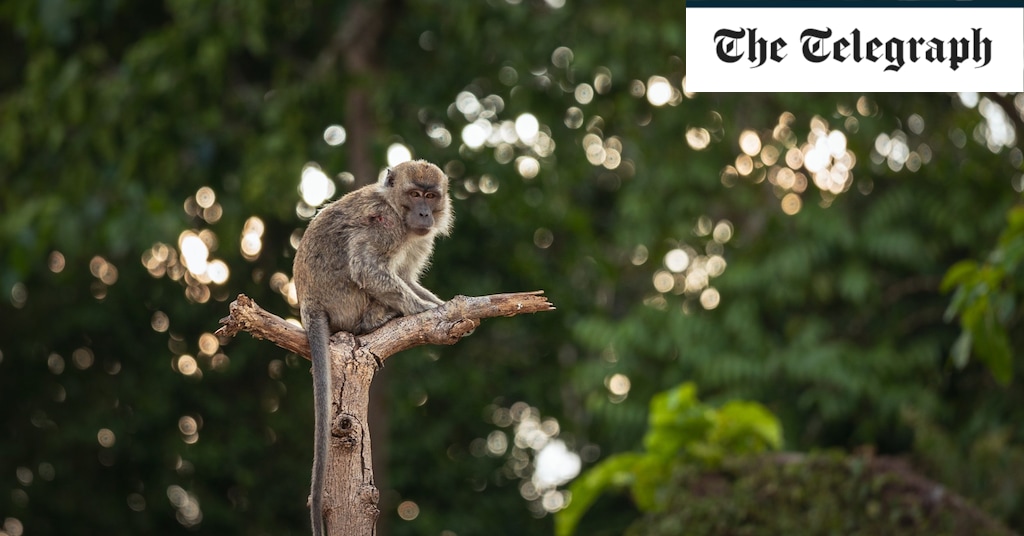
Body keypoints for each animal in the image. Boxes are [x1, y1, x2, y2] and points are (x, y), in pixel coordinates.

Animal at [288, 159, 448, 536]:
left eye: (430, 196)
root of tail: (309, 307)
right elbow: (369, 268)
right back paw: (376, 319)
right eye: (415, 194)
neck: (396, 208)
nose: (424, 213)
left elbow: (406, 277)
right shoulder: (384, 225)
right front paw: (424, 310)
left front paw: (444, 303)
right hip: (345, 303)